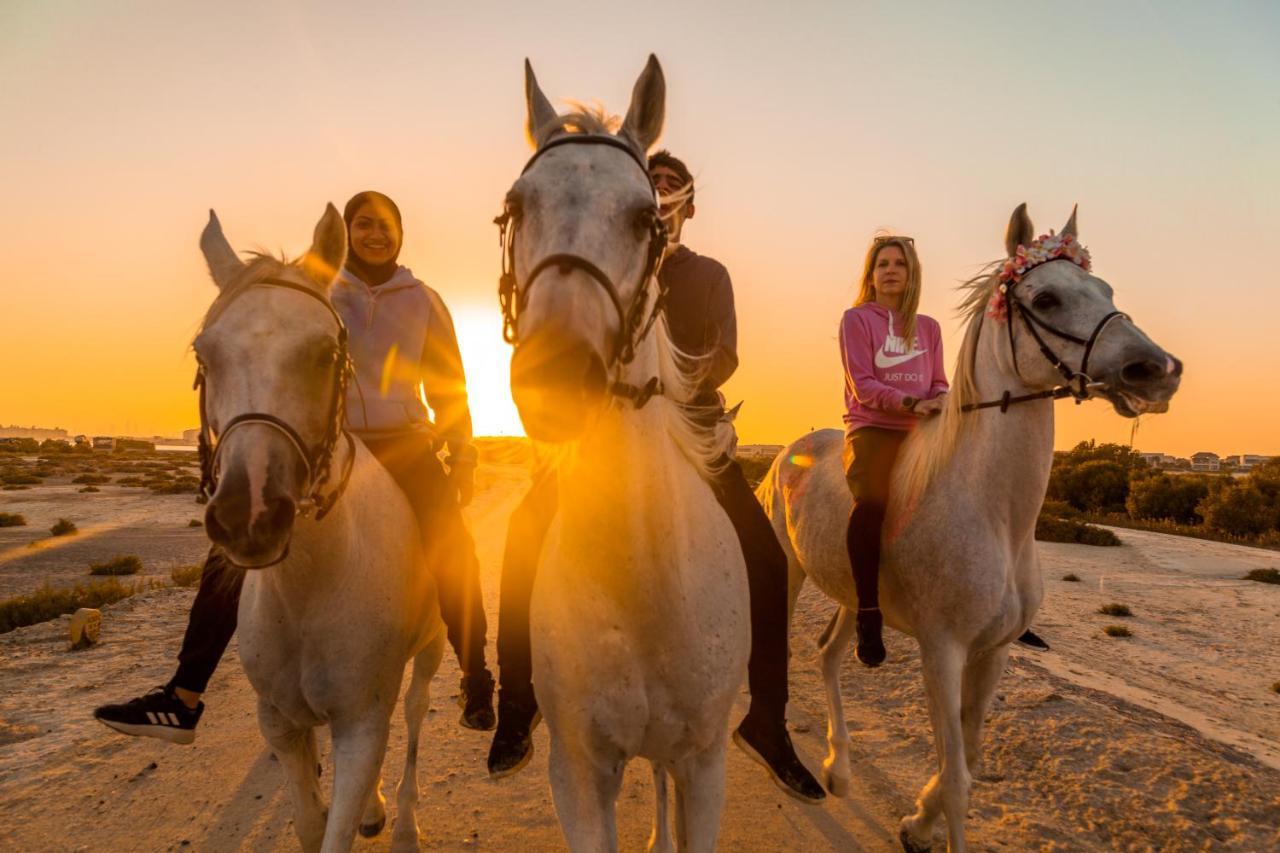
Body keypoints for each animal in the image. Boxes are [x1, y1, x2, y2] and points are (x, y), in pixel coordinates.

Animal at [193, 207, 445, 850]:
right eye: (204, 355)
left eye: (327, 354)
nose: (251, 515)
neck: (309, 588)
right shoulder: (281, 724)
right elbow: (310, 823)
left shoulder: (359, 724)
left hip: (430, 650)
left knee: (413, 715)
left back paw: (404, 821)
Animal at [752, 206, 1182, 850]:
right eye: (1048, 298)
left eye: (1105, 290)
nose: (1157, 370)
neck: (994, 517)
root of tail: (788, 452)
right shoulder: (943, 653)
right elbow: (956, 779)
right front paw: (927, 822)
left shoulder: (993, 653)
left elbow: (972, 758)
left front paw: (915, 821)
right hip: (790, 571)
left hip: (852, 595)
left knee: (827, 656)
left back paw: (839, 770)